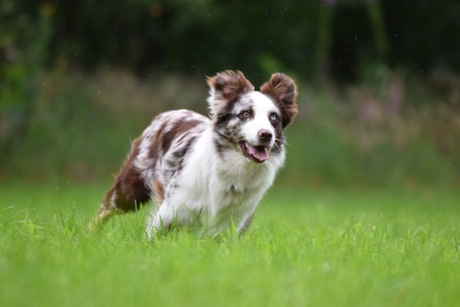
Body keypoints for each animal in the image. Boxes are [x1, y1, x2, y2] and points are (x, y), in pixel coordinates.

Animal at [88, 70, 298, 238]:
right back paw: (89, 236)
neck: (234, 170)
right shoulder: (168, 212)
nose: (266, 135)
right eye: (245, 114)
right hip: (129, 190)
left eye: (273, 118)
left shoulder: (231, 225)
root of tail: (169, 113)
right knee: (104, 210)